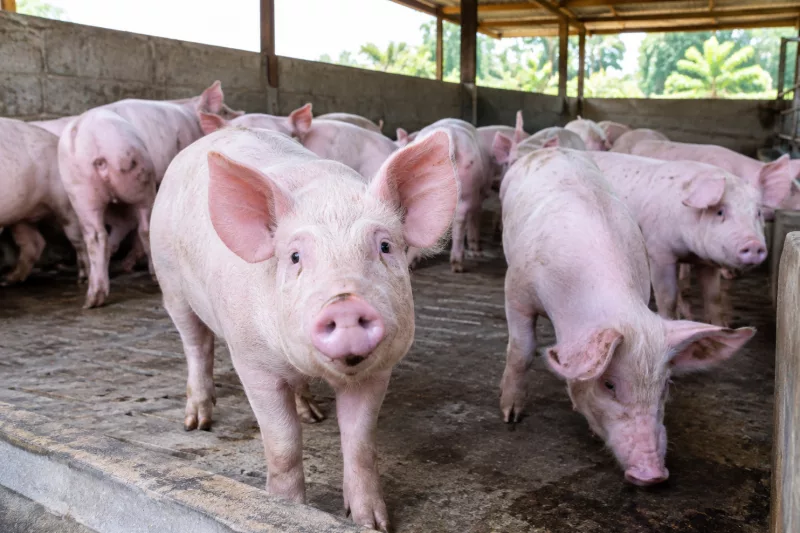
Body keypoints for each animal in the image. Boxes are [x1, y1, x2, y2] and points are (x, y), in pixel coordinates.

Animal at [0, 118, 86, 283]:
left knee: (79, 239)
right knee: (34, 243)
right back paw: (9, 279)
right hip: (21, 214)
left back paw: (82, 278)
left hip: (66, 205)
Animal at [58, 81, 241, 308]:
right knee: (145, 227)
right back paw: (151, 276)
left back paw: (92, 299)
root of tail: (88, 137)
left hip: (79, 189)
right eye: (224, 111)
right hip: (138, 173)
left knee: (96, 235)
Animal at [150, 126, 458, 531]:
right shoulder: (252, 363)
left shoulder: (378, 371)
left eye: (385, 246)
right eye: (295, 256)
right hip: (170, 281)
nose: (345, 304)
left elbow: (361, 445)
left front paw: (372, 524)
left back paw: (312, 413)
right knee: (196, 344)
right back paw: (197, 423)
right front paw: (286, 510)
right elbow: (283, 444)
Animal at [588, 152, 771, 325]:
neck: (689, 252)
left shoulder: (707, 263)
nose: (754, 244)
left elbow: (714, 298)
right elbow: (668, 298)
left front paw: (721, 326)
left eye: (758, 213)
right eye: (720, 212)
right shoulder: (659, 252)